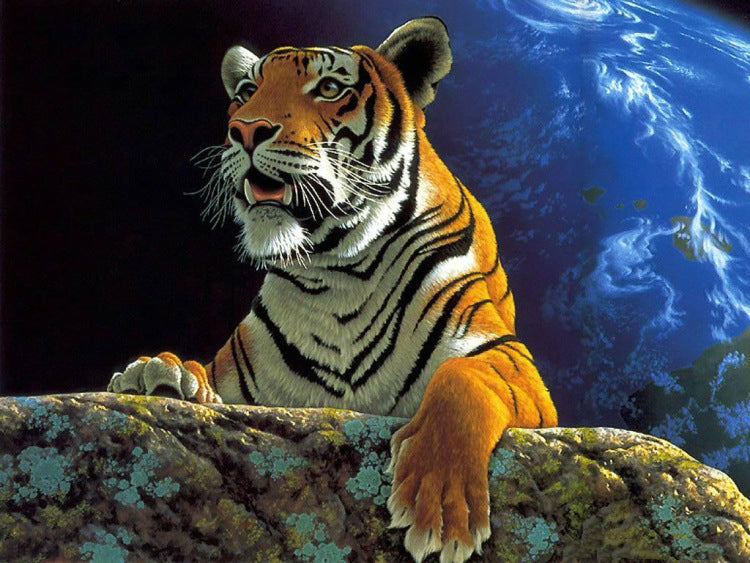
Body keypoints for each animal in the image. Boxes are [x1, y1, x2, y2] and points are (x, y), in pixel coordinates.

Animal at [108, 17, 557, 562]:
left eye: (327, 89)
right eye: (247, 92)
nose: (246, 130)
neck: (336, 272)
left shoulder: (508, 357)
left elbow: (461, 381)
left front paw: (438, 507)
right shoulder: (242, 380)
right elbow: (200, 369)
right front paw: (155, 373)